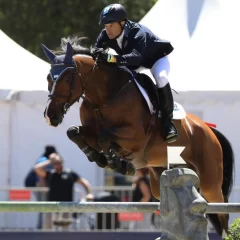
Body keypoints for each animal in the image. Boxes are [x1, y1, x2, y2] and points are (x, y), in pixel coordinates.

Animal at [41, 36, 234, 237]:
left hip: (210, 181)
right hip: (161, 179)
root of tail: (208, 129)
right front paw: (99, 157)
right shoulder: (89, 130)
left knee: (222, 211)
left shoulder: (135, 137)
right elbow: (74, 132)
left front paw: (119, 163)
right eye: (48, 78)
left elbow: (105, 137)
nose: (50, 116)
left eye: (67, 78)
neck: (104, 98)